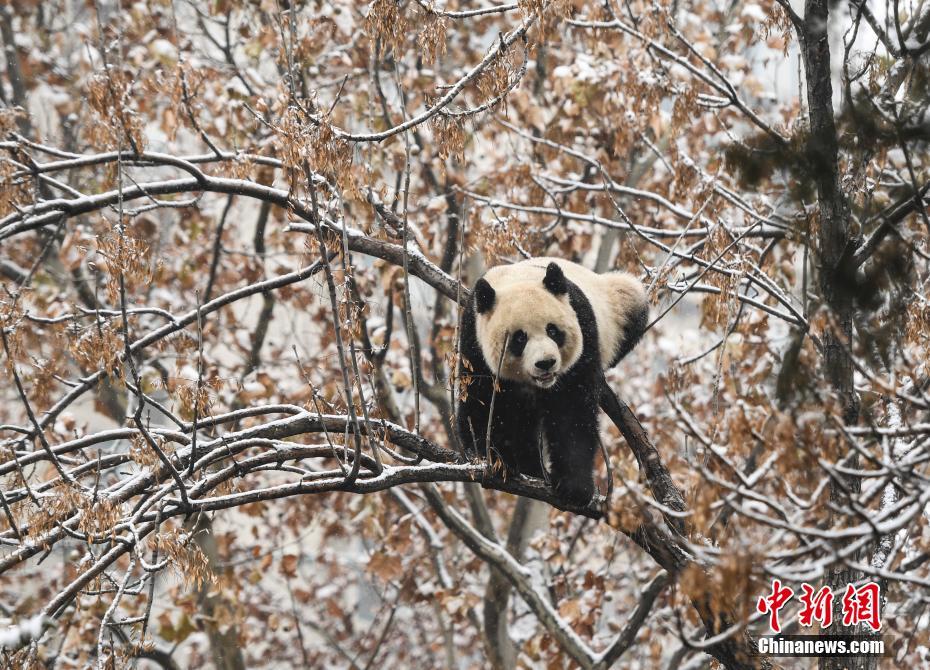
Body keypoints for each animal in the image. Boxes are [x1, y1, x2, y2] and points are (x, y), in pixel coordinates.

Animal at [454, 260, 644, 506]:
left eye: (552, 330)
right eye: (519, 338)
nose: (546, 363)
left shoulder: (583, 335)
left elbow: (571, 413)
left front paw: (574, 486)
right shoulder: (474, 343)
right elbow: (481, 402)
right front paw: (496, 461)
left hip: (618, 305)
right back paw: (532, 467)